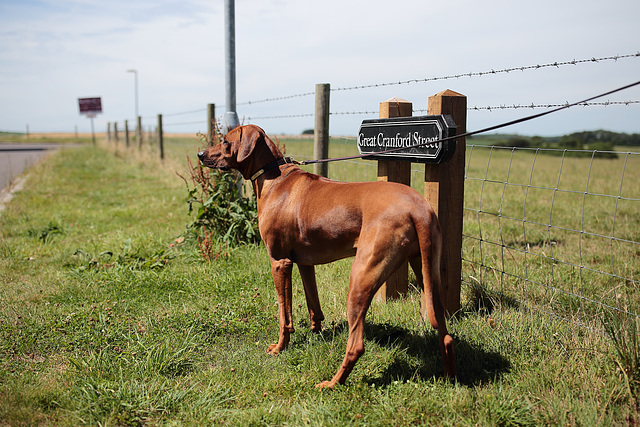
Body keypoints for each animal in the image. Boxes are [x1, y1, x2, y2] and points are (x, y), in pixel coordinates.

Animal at [198, 125, 452, 390]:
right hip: (428, 274)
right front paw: (315, 332)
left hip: (361, 277)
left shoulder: (279, 262)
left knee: (356, 345)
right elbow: (313, 303)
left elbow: (283, 314)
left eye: (225, 141)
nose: (200, 154)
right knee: (445, 335)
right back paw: (448, 378)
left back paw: (333, 383)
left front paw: (280, 347)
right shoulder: (304, 262)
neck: (274, 177)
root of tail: (418, 208)